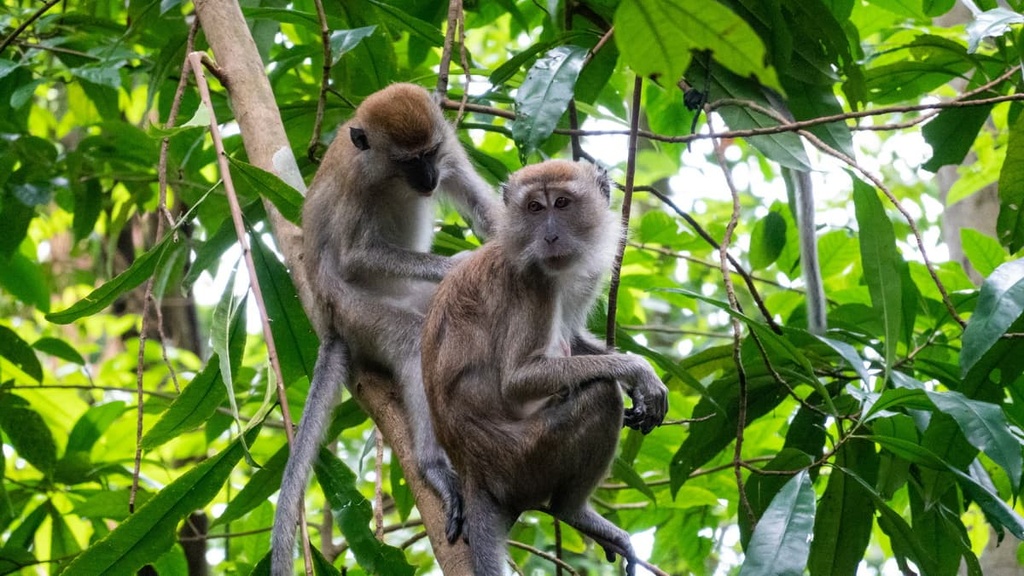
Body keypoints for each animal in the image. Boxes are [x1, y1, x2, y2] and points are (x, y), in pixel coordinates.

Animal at [271, 83, 501, 574]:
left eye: (429, 153)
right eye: (409, 161)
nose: (430, 178)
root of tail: (331, 322)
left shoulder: (449, 148)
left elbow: (484, 209)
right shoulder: (358, 184)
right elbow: (356, 255)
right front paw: (462, 263)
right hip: (360, 314)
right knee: (413, 342)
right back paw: (434, 468)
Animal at [421, 159, 669, 575]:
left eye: (562, 204)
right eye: (535, 208)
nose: (550, 237)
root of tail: (473, 470)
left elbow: (574, 334)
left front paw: (641, 382)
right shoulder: (532, 283)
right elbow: (518, 379)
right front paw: (638, 372)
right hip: (523, 460)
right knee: (601, 395)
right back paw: (572, 511)